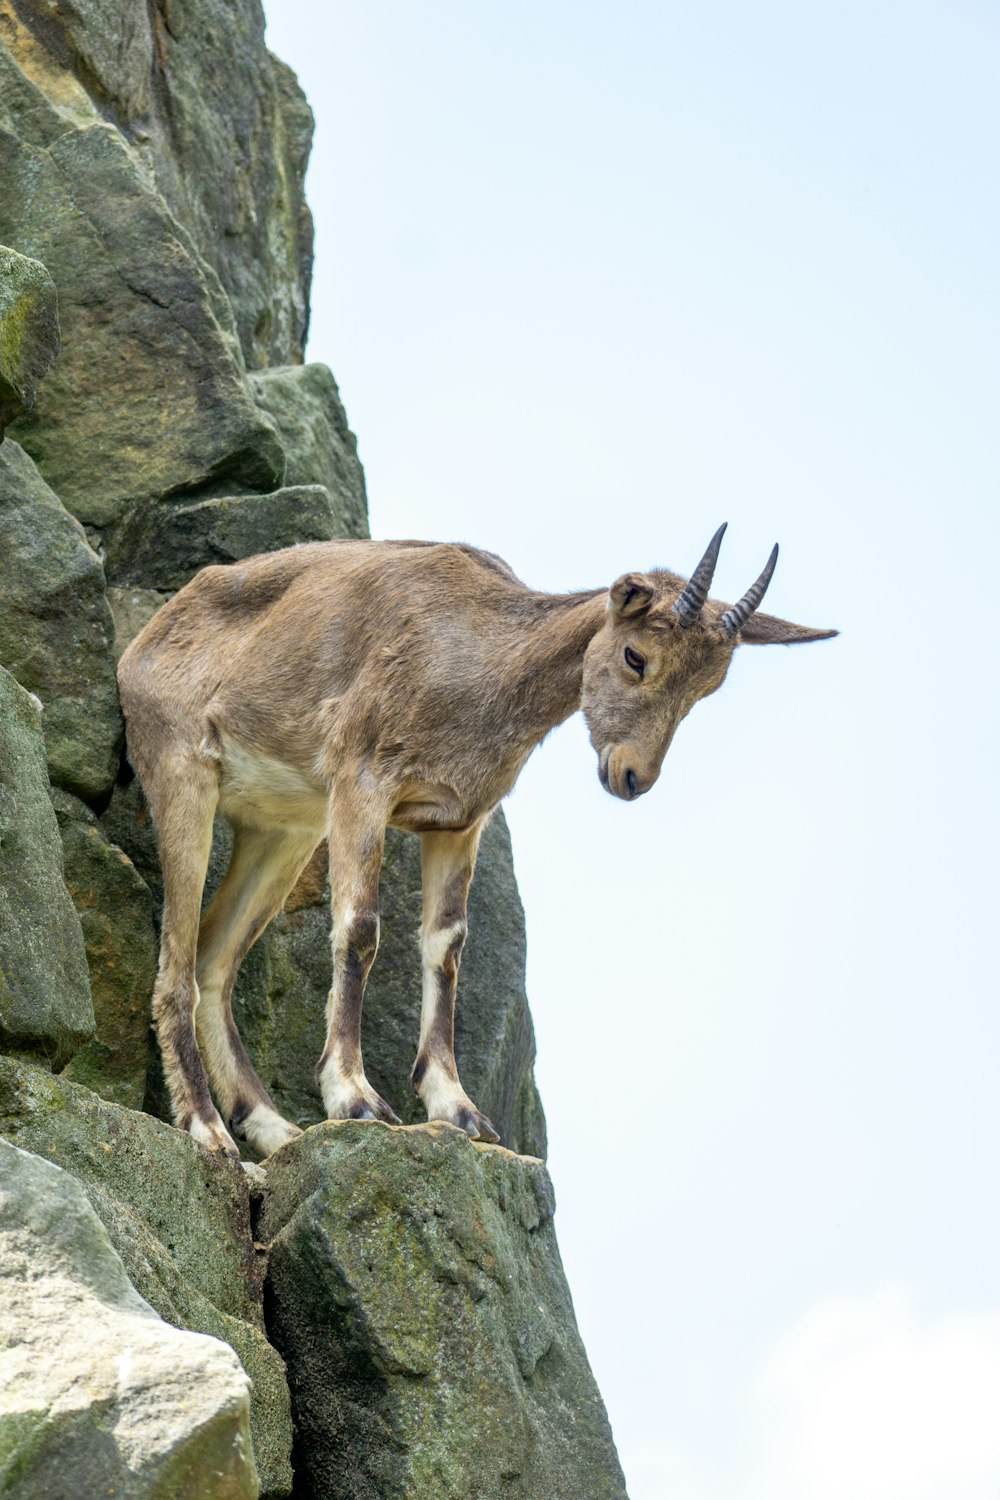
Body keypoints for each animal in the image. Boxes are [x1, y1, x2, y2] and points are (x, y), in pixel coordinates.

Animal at [117, 528, 839, 1158]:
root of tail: (146, 642)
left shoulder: (459, 823)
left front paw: (458, 1109)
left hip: (284, 829)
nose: (633, 776)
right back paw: (207, 1130)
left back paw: (272, 1129)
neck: (478, 662)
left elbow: (447, 945)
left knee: (213, 959)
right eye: (637, 656)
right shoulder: (361, 784)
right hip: (184, 778)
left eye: (705, 688)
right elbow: (360, 928)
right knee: (176, 963)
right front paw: (355, 1097)